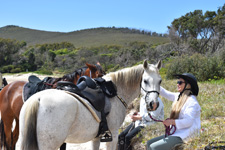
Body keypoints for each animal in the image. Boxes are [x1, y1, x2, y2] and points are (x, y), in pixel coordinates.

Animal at [18, 59, 162, 149]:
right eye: (145, 81)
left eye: (160, 81)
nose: (153, 104)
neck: (115, 90)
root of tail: (37, 100)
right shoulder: (114, 134)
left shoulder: (96, 137)